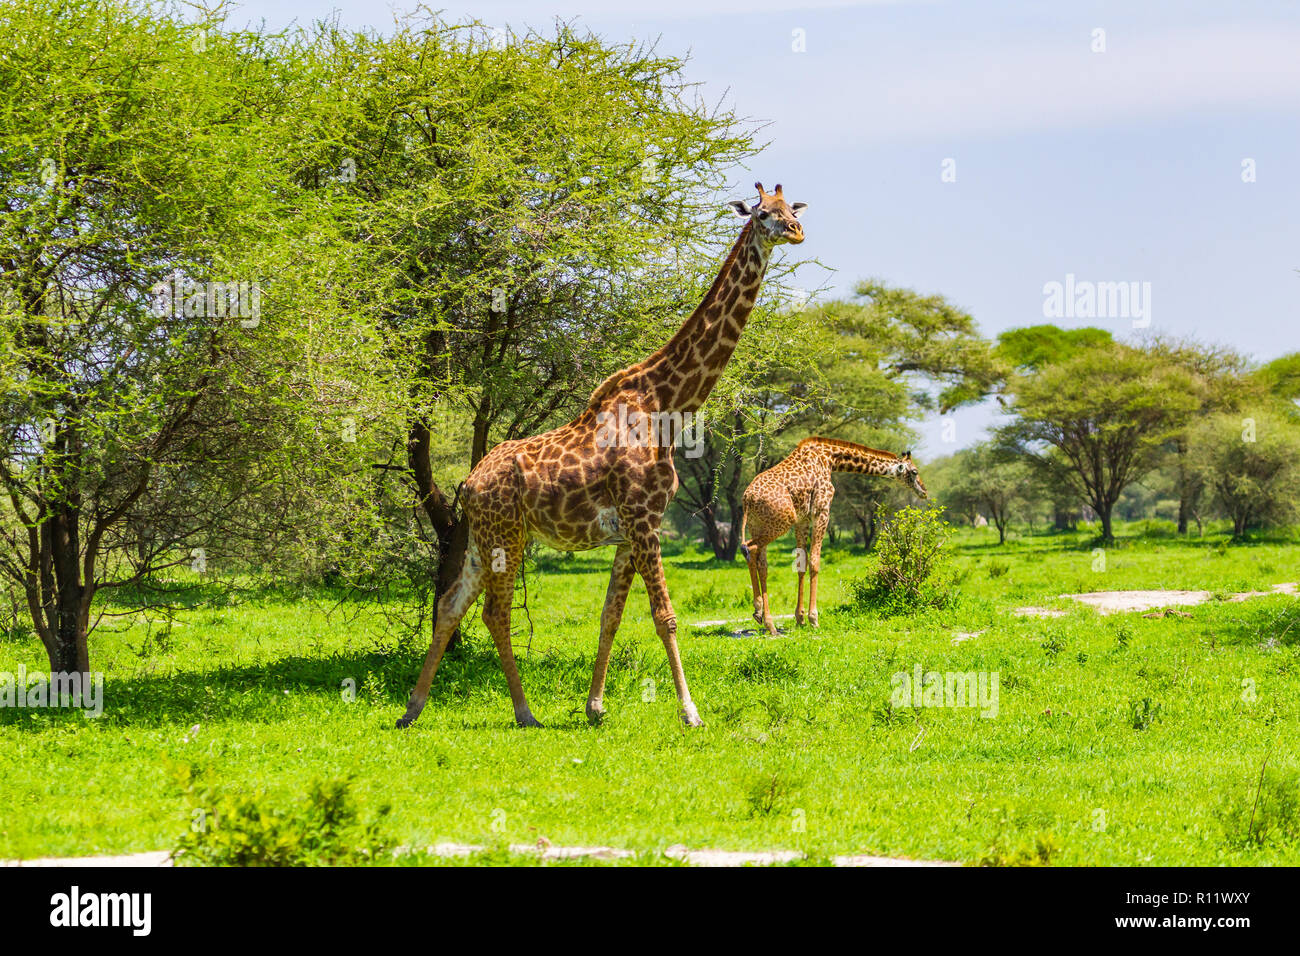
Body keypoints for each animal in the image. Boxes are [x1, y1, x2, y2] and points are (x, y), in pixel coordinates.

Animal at [395, 180, 806, 733]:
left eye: (791, 207)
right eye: (763, 213)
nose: (797, 231)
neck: (667, 404)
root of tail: (468, 483)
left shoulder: (630, 531)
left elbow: (611, 617)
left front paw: (595, 706)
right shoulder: (644, 520)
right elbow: (665, 617)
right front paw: (690, 712)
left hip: (484, 538)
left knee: (449, 605)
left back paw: (413, 708)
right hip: (507, 535)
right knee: (493, 613)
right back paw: (524, 712)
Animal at [743, 439, 925, 634]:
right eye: (915, 472)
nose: (924, 491)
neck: (830, 459)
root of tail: (747, 499)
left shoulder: (802, 519)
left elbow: (801, 563)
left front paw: (800, 619)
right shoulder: (821, 510)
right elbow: (814, 562)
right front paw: (813, 619)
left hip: (758, 525)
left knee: (761, 563)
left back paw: (764, 617)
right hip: (781, 523)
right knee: (749, 548)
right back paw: (763, 616)